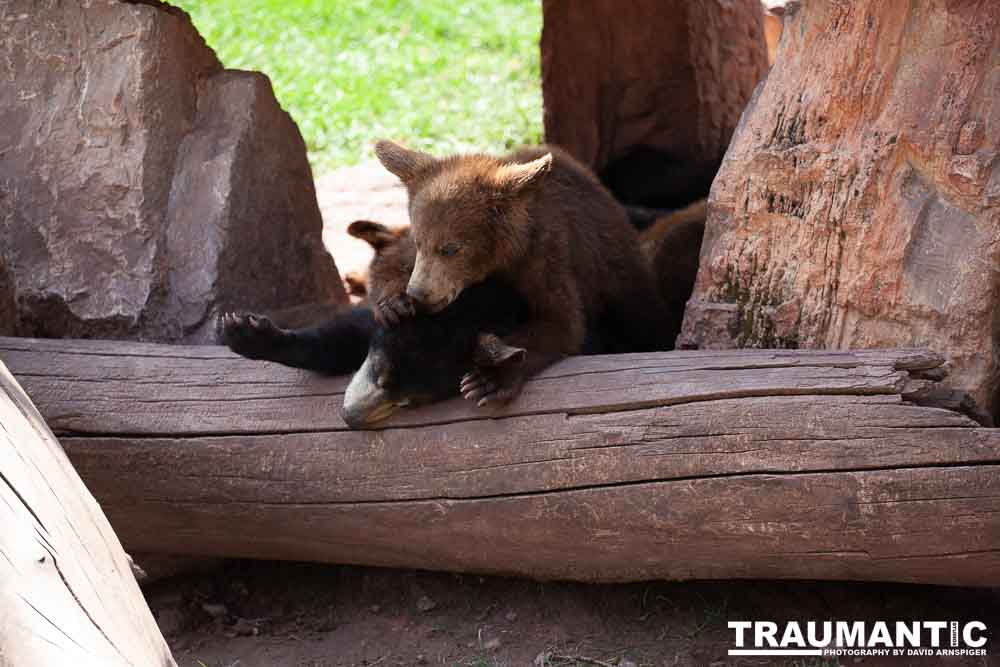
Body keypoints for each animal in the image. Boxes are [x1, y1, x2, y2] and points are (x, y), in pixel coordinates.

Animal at [372, 140, 675, 406]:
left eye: (450, 249)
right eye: (419, 242)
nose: (419, 293)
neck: (501, 258)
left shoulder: (545, 255)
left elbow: (560, 322)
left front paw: (487, 380)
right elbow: (391, 260)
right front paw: (392, 304)